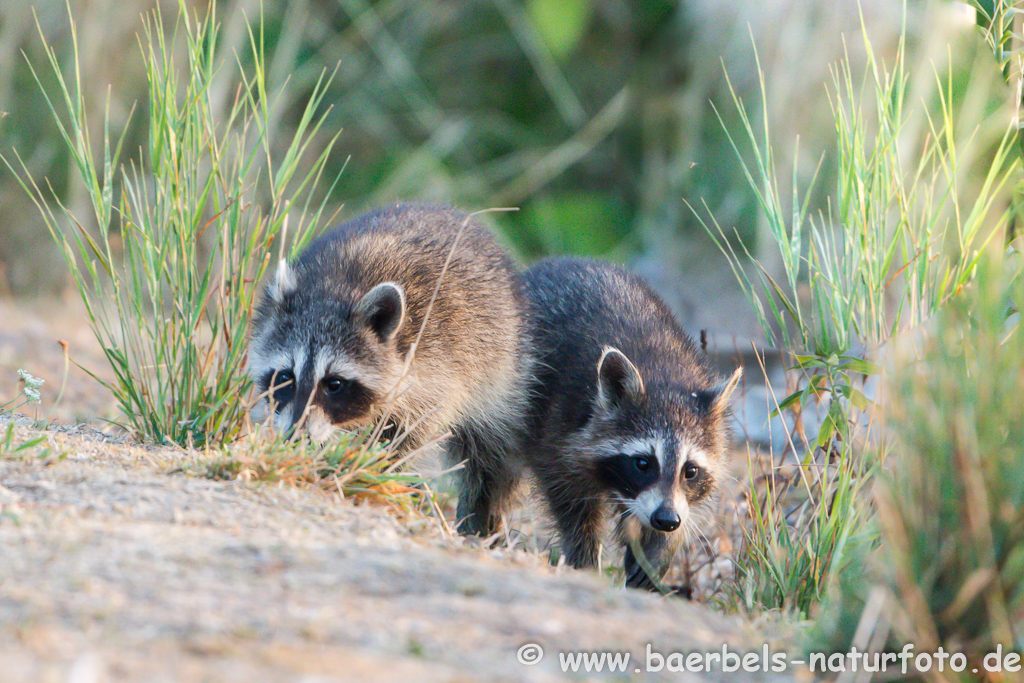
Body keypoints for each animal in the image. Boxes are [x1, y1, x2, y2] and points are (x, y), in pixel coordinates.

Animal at [247, 201, 532, 528]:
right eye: (285, 377)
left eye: (334, 384)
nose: (296, 435)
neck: (336, 288)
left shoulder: (437, 367)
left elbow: (409, 433)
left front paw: (377, 468)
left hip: (503, 367)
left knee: (491, 451)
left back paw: (480, 513)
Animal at [520, 259, 737, 589]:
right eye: (643, 463)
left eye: (690, 471)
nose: (666, 520)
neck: (663, 374)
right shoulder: (560, 429)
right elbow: (571, 503)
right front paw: (584, 559)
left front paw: (660, 550)